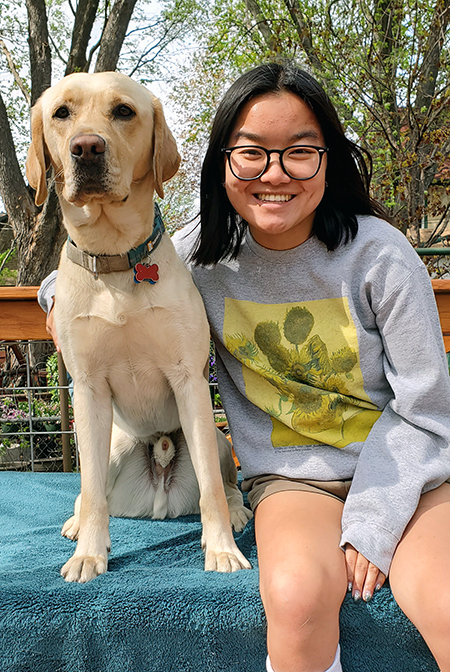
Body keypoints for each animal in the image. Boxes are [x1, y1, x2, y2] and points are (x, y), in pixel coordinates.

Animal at [26, 72, 251, 584]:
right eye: (61, 113)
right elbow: (91, 490)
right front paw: (89, 555)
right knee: (92, 491)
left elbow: (211, 488)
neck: (113, 259)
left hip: (215, 435)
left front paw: (222, 549)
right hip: (111, 445)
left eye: (124, 111)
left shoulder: (190, 381)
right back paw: (76, 522)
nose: (87, 148)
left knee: (222, 482)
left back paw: (237, 511)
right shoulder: (88, 388)